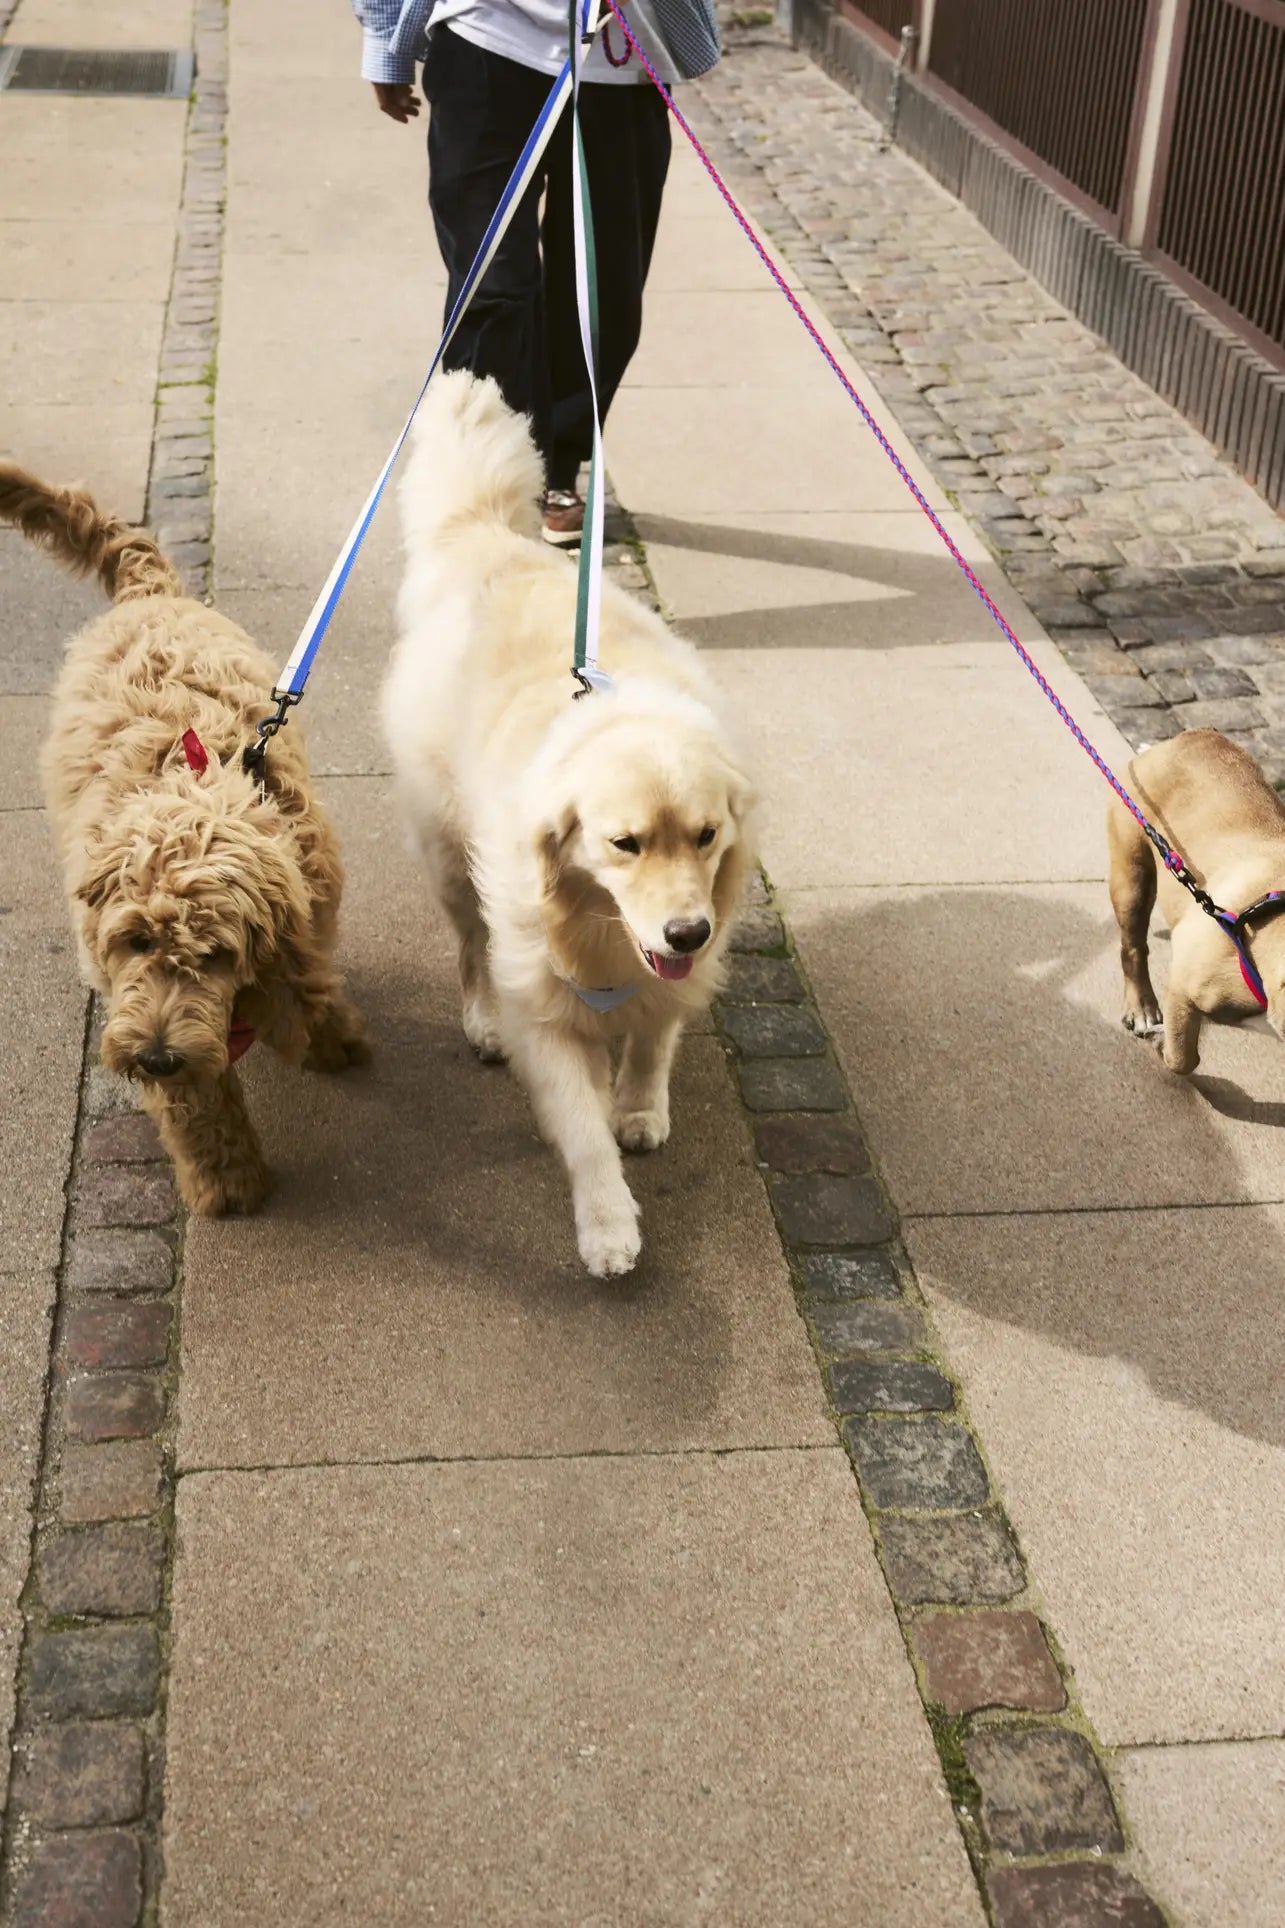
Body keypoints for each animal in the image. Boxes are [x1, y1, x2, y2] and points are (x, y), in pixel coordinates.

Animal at [2, 460, 368, 1210]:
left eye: (218, 954)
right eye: (136, 941)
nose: (156, 1057)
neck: (194, 784)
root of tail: (148, 587)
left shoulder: (305, 917)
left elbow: (309, 984)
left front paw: (332, 1041)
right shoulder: (135, 1000)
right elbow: (197, 1102)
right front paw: (228, 1179)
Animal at [385, 375, 756, 1280]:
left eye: (705, 836)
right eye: (624, 844)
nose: (688, 931)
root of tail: (488, 539)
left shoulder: (674, 970)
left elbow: (653, 1033)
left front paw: (640, 1105)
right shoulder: (547, 1009)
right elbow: (583, 1134)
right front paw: (607, 1224)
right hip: (452, 863)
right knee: (470, 948)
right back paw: (481, 1018)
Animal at [1103, 728, 1281, 1079]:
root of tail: (1190, 736)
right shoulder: (1182, 987)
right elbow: (1183, 1058)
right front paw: (1162, 1044)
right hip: (1132, 876)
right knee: (1133, 946)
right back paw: (1141, 1007)